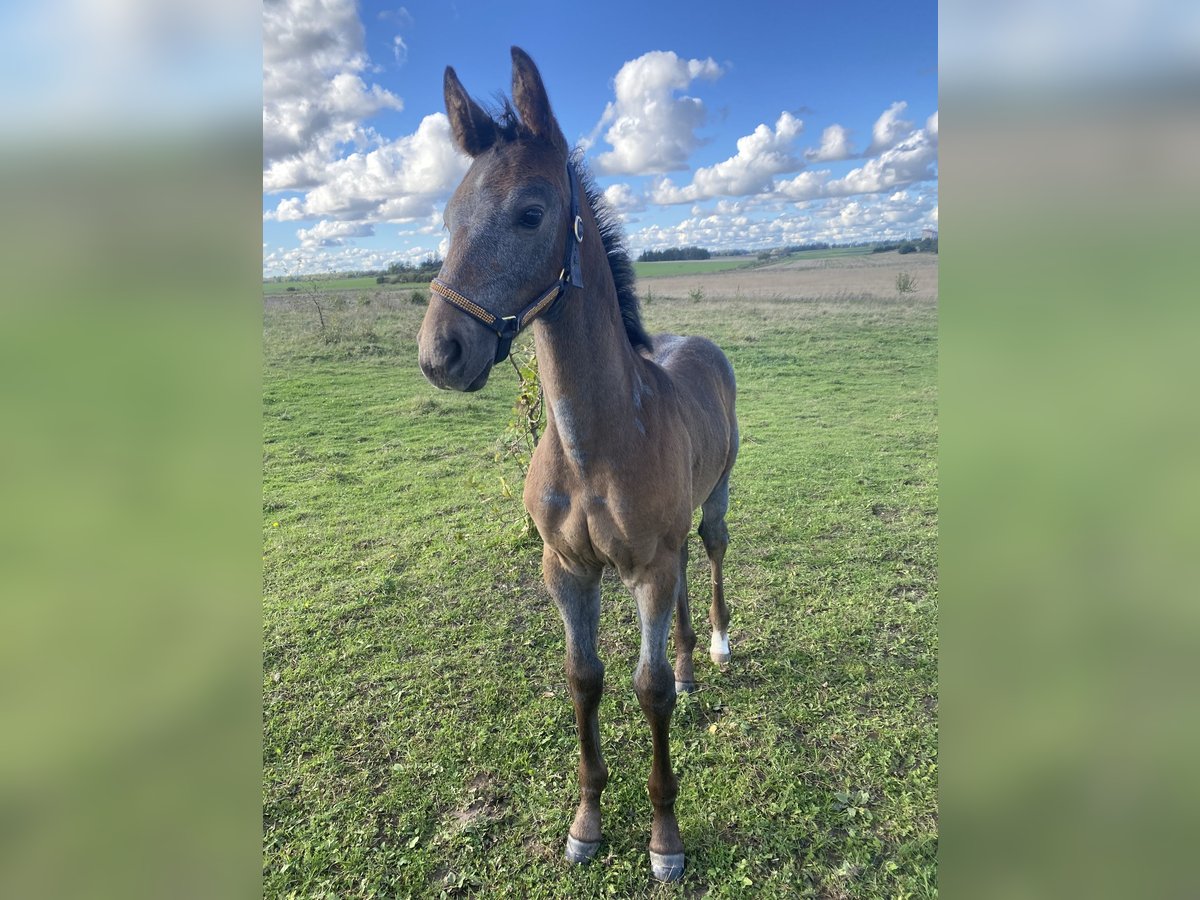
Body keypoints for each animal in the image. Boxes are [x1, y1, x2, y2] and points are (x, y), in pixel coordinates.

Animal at [422, 45, 739, 883]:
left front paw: (665, 838)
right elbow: (585, 679)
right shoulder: (565, 567)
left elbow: (648, 689)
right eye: (447, 218)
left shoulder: (646, 567)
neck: (592, 444)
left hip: (718, 496)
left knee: (711, 552)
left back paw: (717, 646)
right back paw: (693, 660)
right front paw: (588, 822)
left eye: (531, 213)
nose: (440, 355)